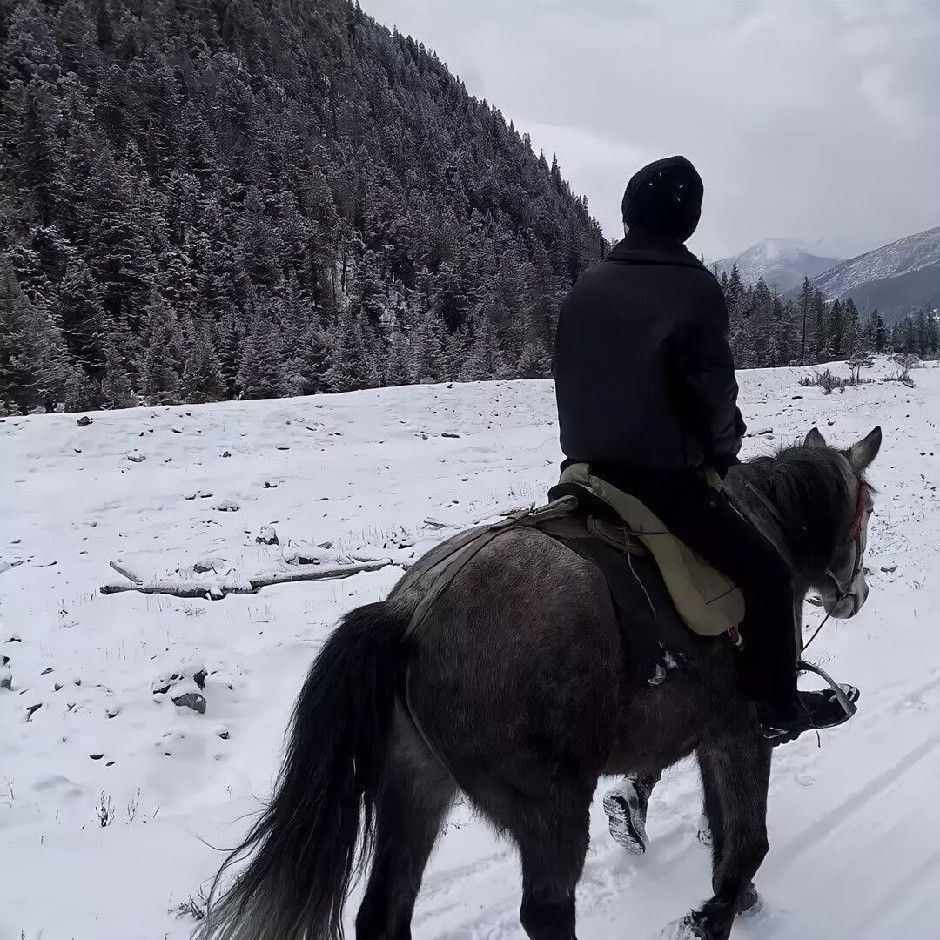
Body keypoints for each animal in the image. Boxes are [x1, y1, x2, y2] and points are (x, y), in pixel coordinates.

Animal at [198, 426, 880, 940]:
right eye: (866, 509)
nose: (857, 595)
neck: (769, 527)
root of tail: (409, 615)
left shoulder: (704, 730)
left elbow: (715, 823)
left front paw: (731, 896)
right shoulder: (742, 731)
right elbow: (746, 841)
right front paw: (716, 915)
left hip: (413, 784)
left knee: (384, 913)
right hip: (550, 809)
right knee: (546, 914)